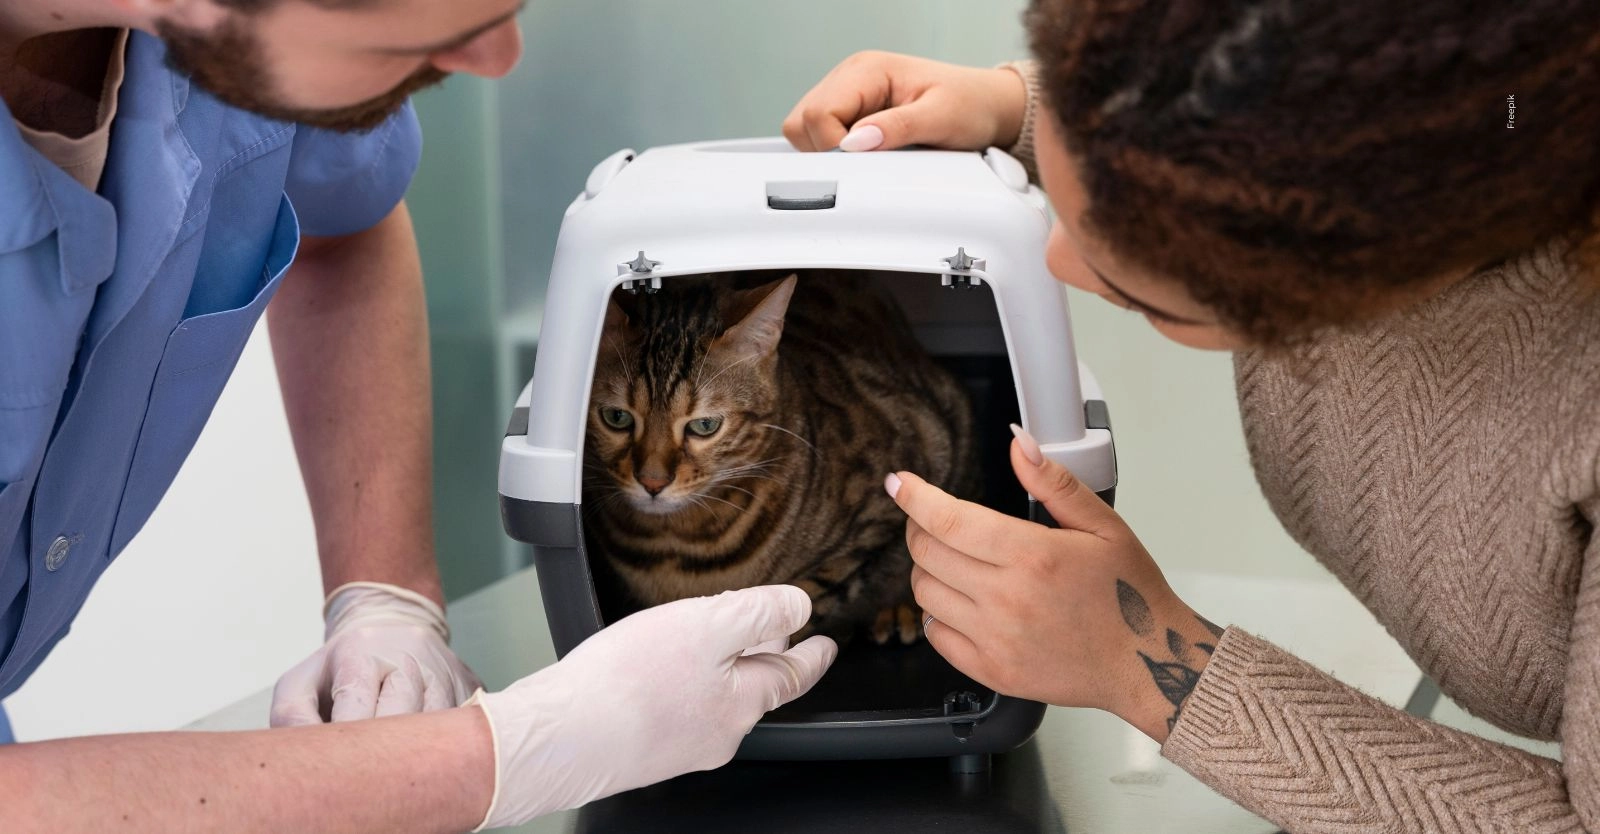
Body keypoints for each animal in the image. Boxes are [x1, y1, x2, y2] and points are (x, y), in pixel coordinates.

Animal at [582, 271, 980, 645]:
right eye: (616, 418)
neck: (675, 543)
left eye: (705, 426)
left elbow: (806, 599)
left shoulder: (884, 506)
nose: (652, 482)